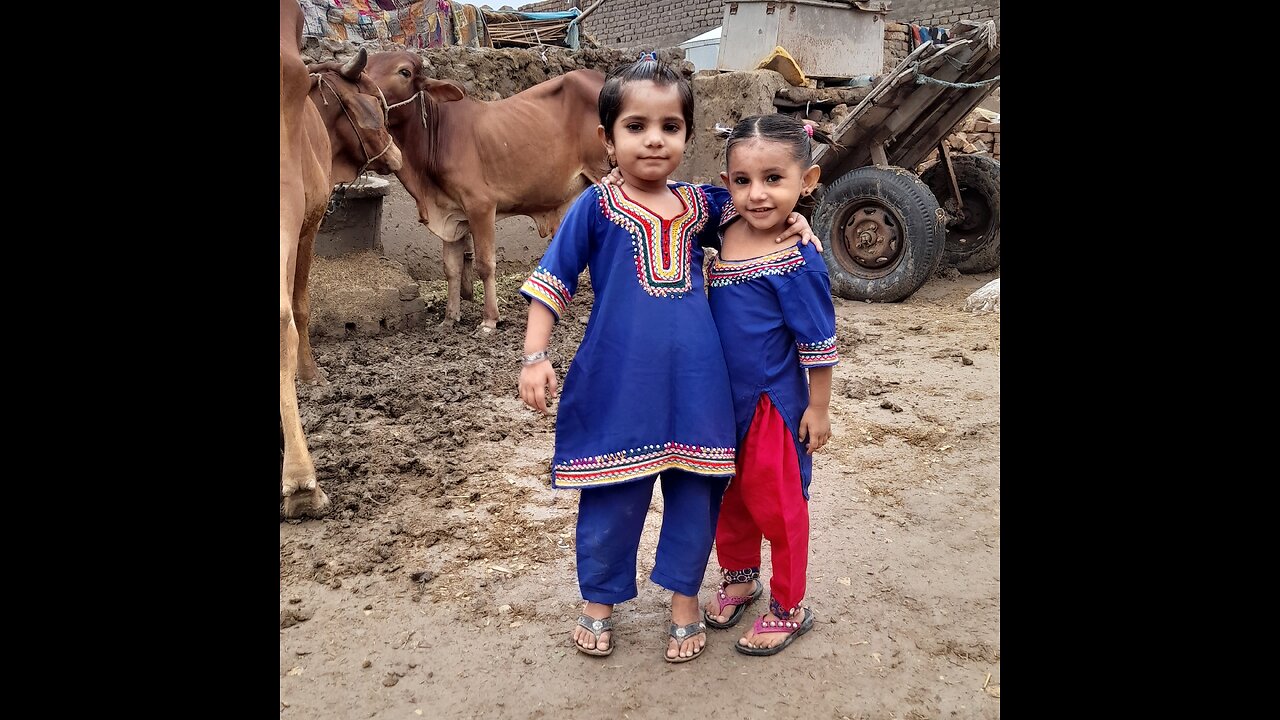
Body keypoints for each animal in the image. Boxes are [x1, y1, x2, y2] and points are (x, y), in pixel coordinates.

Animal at [368, 51, 611, 333]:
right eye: (365, 67)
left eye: (404, 72)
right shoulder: (451, 214)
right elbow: (451, 268)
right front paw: (449, 319)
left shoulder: (480, 207)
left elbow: (485, 264)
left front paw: (489, 320)